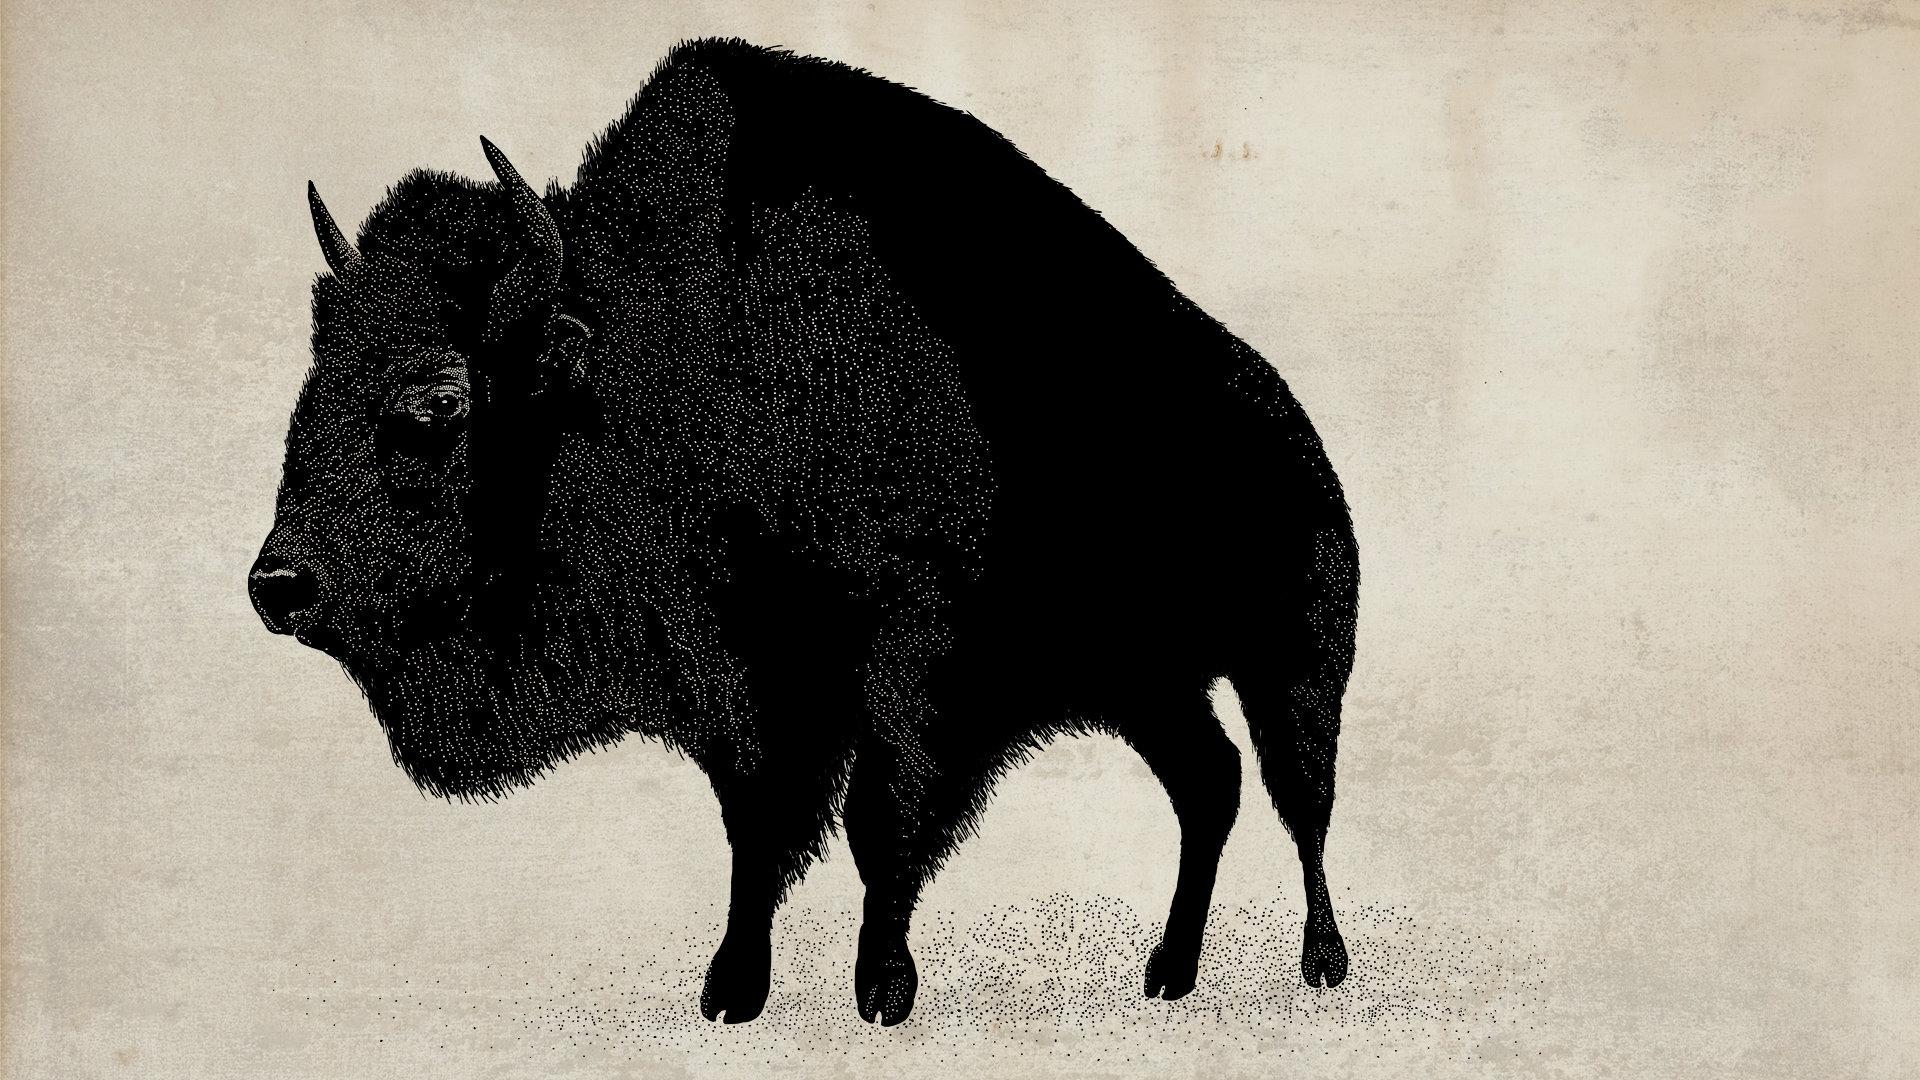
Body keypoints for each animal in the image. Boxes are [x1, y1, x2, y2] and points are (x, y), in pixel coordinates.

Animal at [251, 38, 1359, 1025]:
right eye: (310, 386)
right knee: (1210, 783)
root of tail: (1300, 438)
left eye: (437, 403)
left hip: (1291, 662)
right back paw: (1169, 973)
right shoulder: (748, 685)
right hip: (1145, 683)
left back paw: (1322, 965)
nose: (278, 585)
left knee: (1299, 798)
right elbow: (761, 831)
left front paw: (882, 991)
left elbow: (880, 820)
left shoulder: (904, 663)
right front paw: (731, 992)